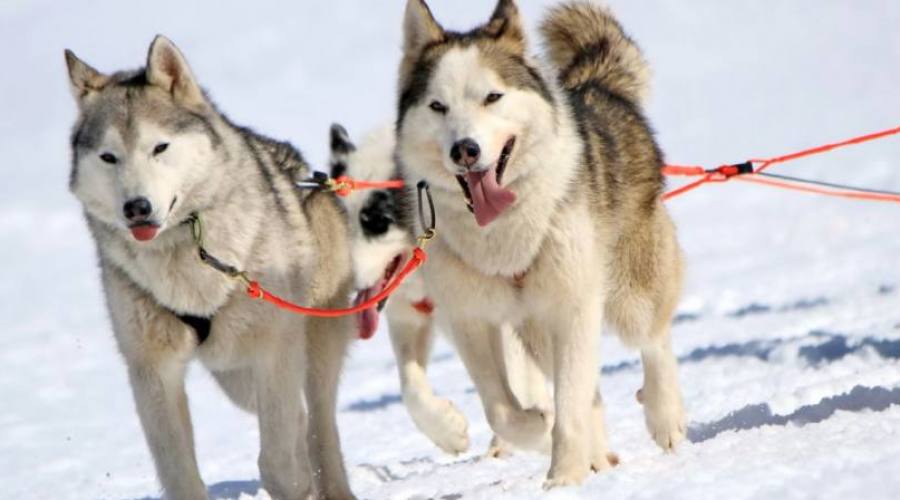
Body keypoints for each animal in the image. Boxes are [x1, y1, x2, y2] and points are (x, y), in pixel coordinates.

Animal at [65, 36, 356, 500]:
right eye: (109, 157)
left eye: (159, 147)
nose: (136, 208)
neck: (189, 255)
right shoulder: (151, 370)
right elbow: (180, 474)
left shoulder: (274, 350)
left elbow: (278, 463)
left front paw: (292, 482)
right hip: (235, 377)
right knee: (298, 418)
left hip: (310, 346)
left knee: (319, 424)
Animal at [398, 0, 684, 484]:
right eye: (438, 106)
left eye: (492, 97)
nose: (464, 150)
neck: (502, 234)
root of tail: (594, 87)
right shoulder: (471, 320)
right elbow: (502, 409)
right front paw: (537, 430)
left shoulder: (572, 306)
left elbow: (569, 408)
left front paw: (564, 478)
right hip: (535, 332)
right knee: (589, 393)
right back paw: (597, 454)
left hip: (627, 294)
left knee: (653, 337)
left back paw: (664, 416)